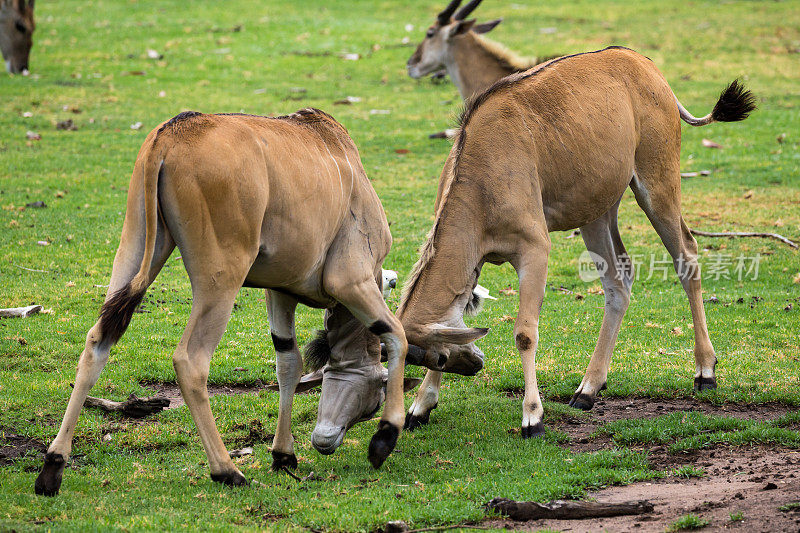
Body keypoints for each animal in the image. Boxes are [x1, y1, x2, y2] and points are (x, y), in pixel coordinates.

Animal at [34, 107, 410, 494]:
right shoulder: (352, 280)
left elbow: (288, 362)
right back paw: (226, 470)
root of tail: (171, 134)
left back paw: (53, 466)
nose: (325, 443)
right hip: (221, 279)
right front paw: (385, 436)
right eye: (374, 403)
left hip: (133, 250)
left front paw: (283, 454)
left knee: (98, 340)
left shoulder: (280, 292)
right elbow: (396, 334)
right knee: (190, 360)